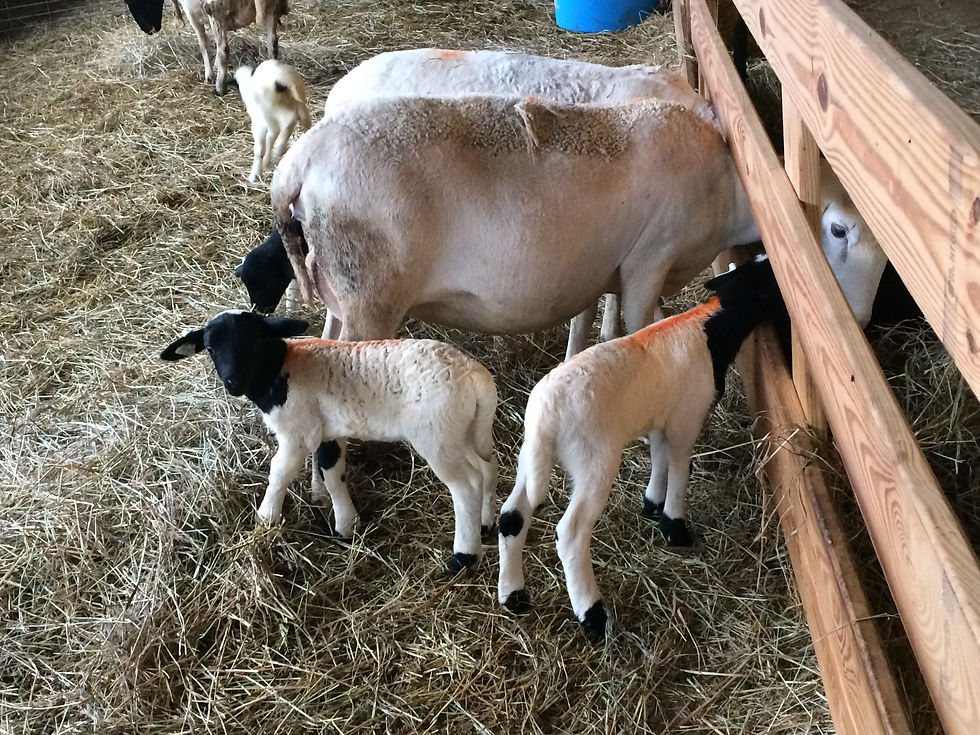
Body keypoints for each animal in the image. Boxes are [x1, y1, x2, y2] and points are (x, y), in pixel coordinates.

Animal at [160, 310, 498, 573]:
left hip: (435, 435)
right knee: (487, 468)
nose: (233, 382)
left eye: (254, 341)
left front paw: (266, 519)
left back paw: (463, 558)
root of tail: (475, 376)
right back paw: (485, 525)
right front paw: (347, 526)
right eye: (210, 347)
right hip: (465, 430)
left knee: (467, 485)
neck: (281, 369)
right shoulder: (327, 432)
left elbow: (279, 473)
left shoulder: (297, 433)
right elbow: (332, 475)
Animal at [496, 256, 786, 640]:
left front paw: (652, 503)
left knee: (512, 515)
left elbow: (659, 458)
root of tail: (547, 416)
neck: (710, 328)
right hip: (594, 461)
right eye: (770, 279)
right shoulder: (685, 419)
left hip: (530, 458)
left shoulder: (661, 419)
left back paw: (513, 595)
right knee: (571, 533)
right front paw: (675, 526)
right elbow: (680, 468)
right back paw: (593, 616)